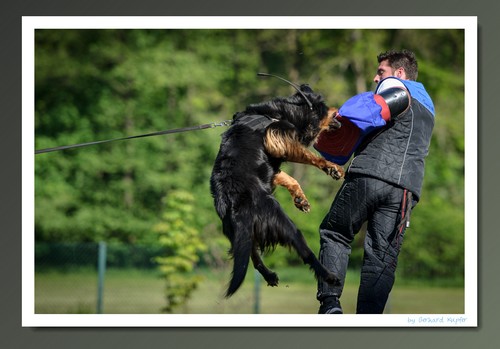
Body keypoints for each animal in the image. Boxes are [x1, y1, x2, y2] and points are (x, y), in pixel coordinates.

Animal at [210, 83, 344, 294]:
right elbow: (311, 156)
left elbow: (290, 178)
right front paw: (331, 167)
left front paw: (300, 199)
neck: (283, 112)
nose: (338, 112)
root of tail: (234, 203)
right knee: (305, 252)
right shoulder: (277, 139)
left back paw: (269, 275)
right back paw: (328, 275)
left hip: (239, 233)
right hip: (282, 222)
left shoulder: (273, 165)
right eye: (328, 109)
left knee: (252, 256)